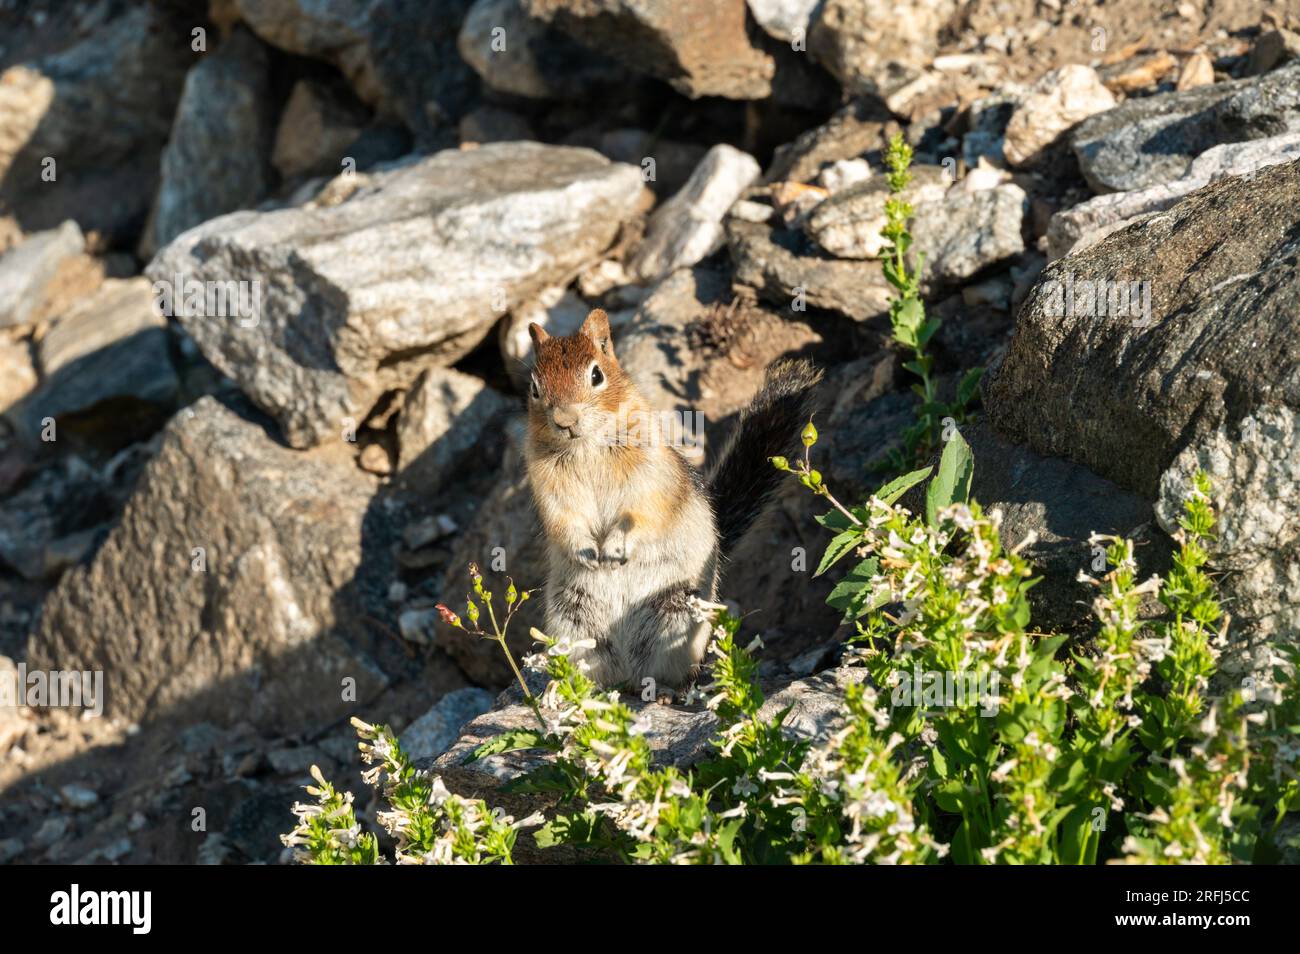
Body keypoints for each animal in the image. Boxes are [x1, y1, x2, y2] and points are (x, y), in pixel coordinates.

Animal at [524, 307, 822, 692]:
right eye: (534, 388)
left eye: (596, 374)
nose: (564, 420)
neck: (585, 447)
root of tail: (629, 674)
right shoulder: (549, 489)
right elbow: (563, 519)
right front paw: (585, 551)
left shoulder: (651, 479)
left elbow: (643, 512)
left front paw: (614, 547)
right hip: (571, 622)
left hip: (677, 612)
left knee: (667, 672)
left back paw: (665, 691)